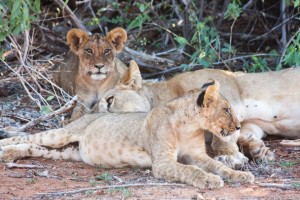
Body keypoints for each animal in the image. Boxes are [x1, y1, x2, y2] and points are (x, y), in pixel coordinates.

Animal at [0, 81, 253, 189]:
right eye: (226, 110)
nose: (239, 126)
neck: (190, 126)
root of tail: (89, 115)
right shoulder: (162, 162)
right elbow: (191, 170)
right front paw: (209, 180)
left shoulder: (197, 155)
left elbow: (218, 165)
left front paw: (240, 175)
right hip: (62, 134)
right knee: (28, 138)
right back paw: (4, 147)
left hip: (66, 153)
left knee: (34, 148)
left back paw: (10, 155)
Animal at [98, 61, 300, 166]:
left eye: (110, 101)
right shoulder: (251, 125)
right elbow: (241, 135)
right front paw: (259, 151)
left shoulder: (229, 97)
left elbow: (221, 138)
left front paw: (229, 157)